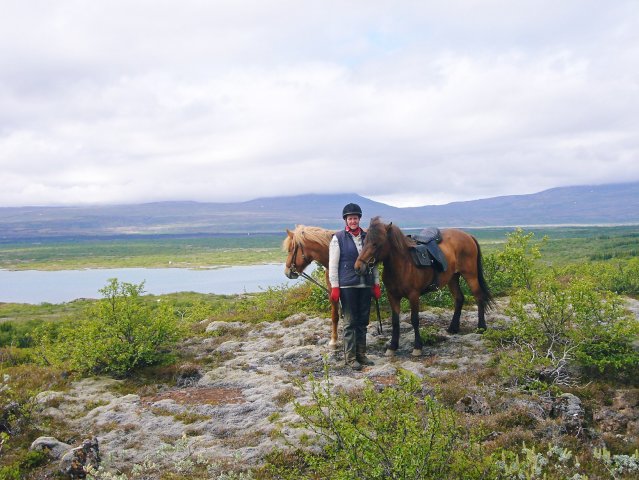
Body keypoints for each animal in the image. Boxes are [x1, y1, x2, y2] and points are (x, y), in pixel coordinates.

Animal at [352, 218, 492, 356]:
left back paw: (481, 327)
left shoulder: (414, 295)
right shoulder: (392, 296)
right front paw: (392, 347)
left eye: (376, 243)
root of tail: (468, 236)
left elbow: (414, 319)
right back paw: (453, 328)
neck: (403, 264)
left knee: (479, 297)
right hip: (453, 278)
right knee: (459, 298)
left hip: (470, 275)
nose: (358, 267)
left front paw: (417, 347)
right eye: (365, 241)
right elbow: (395, 321)